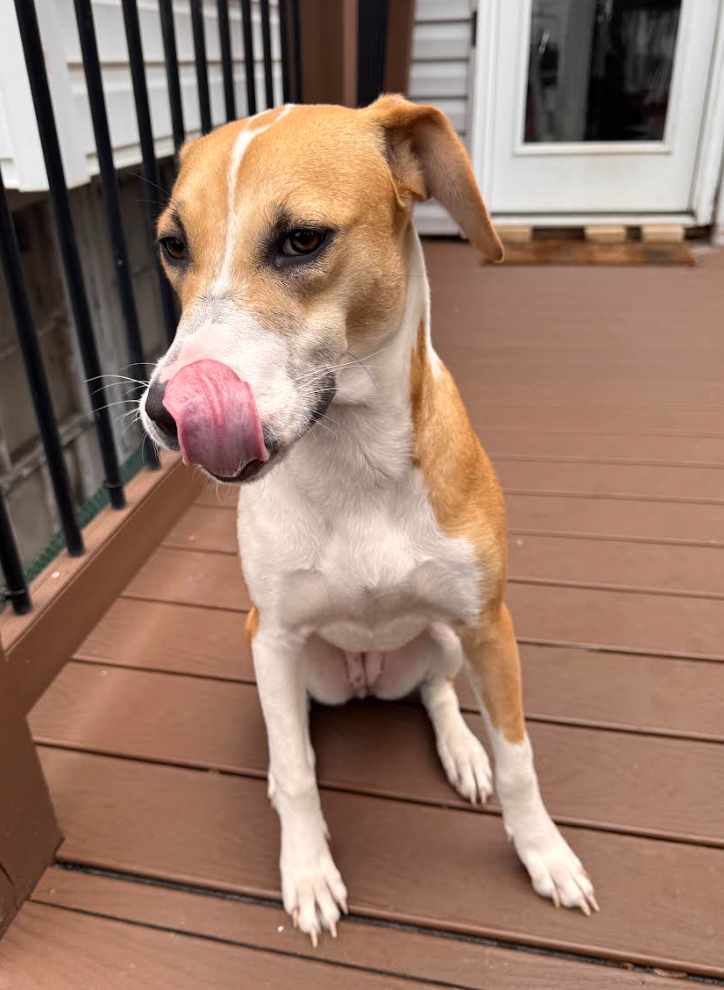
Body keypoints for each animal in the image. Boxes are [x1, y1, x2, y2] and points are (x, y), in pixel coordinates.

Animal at [141, 95, 598, 944]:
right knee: (295, 731)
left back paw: (462, 751)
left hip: (445, 638)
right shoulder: (276, 635)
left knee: (436, 692)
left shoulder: (490, 625)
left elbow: (519, 757)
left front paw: (544, 853)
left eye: (302, 239)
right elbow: (297, 772)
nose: (163, 413)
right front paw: (308, 870)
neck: (355, 464)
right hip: (287, 659)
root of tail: (364, 678)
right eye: (173, 245)